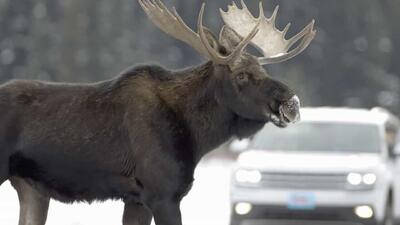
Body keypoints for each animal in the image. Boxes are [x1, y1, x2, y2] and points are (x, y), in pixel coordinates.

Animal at [0, 0, 316, 225]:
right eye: (241, 75)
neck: (197, 137)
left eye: (264, 71)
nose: (292, 103)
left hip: (32, 188)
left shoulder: (137, 199)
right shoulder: (162, 193)